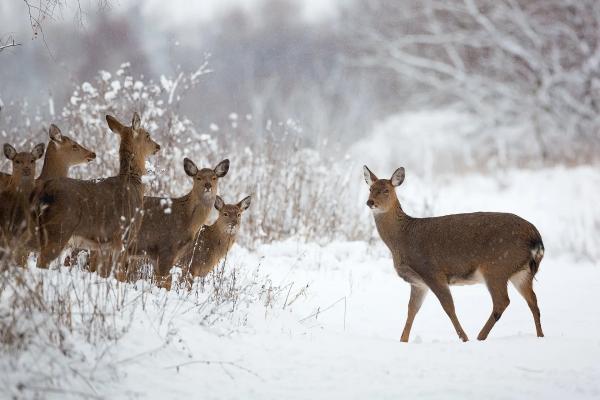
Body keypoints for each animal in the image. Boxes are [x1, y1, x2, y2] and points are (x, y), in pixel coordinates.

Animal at [33, 111, 161, 276]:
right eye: (147, 135)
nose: (158, 146)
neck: (133, 184)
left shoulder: (104, 245)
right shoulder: (124, 236)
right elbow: (119, 275)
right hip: (58, 230)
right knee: (41, 262)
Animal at [124, 156, 230, 288]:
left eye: (214, 177)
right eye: (198, 177)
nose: (208, 185)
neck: (187, 220)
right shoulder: (166, 247)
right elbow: (164, 281)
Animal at [360, 164, 544, 342]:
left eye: (386, 190)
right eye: (370, 188)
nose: (370, 202)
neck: (401, 240)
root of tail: (536, 238)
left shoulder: (432, 271)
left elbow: (448, 307)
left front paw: (464, 338)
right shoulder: (418, 282)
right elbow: (412, 310)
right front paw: (403, 340)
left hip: (496, 267)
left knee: (502, 302)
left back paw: (479, 337)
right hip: (521, 272)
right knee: (533, 300)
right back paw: (540, 335)